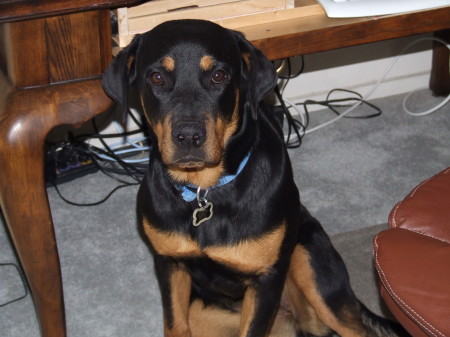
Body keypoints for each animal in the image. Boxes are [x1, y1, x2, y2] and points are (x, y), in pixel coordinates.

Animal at [103, 19, 408, 336]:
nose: (188, 135)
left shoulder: (266, 279)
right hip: (205, 313)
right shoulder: (169, 263)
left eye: (219, 75)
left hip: (312, 264)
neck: (205, 191)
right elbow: (175, 324)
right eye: (157, 77)